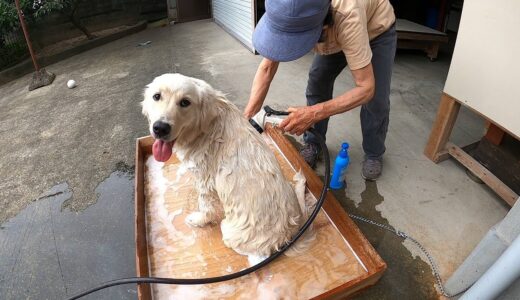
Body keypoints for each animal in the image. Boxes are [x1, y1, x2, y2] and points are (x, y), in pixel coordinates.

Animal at [141, 74, 312, 258]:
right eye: (157, 96)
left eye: (185, 102)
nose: (160, 128)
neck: (203, 129)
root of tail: (290, 234)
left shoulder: (206, 180)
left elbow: (205, 206)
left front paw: (199, 220)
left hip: (231, 232)